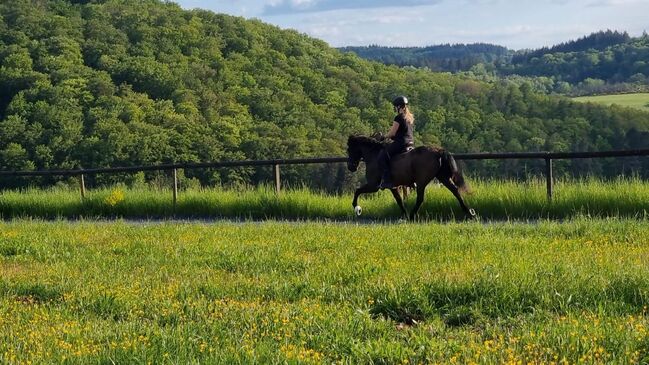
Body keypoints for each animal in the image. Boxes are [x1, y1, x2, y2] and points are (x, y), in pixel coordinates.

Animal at [344, 134, 476, 219]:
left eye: (349, 149)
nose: (351, 167)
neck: (374, 155)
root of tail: (439, 151)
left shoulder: (373, 185)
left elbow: (357, 191)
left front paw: (357, 208)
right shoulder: (393, 187)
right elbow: (399, 200)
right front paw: (404, 214)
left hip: (422, 181)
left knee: (420, 198)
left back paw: (413, 215)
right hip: (443, 177)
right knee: (456, 191)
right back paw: (469, 212)